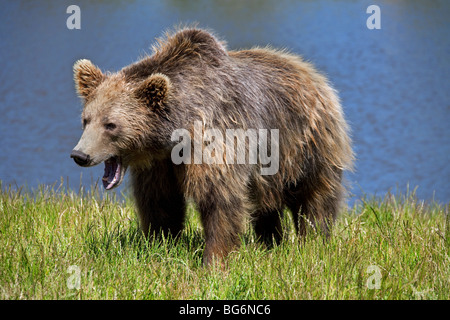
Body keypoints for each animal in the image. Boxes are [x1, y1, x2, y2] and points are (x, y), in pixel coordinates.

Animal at [70, 26, 354, 264]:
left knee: (316, 197)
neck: (177, 132)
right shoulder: (160, 164)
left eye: (110, 125)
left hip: (307, 143)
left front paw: (215, 260)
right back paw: (269, 242)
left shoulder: (219, 137)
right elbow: (160, 201)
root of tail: (312, 74)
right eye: (86, 119)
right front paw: (159, 243)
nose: (80, 155)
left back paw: (314, 242)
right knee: (267, 203)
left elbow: (219, 199)